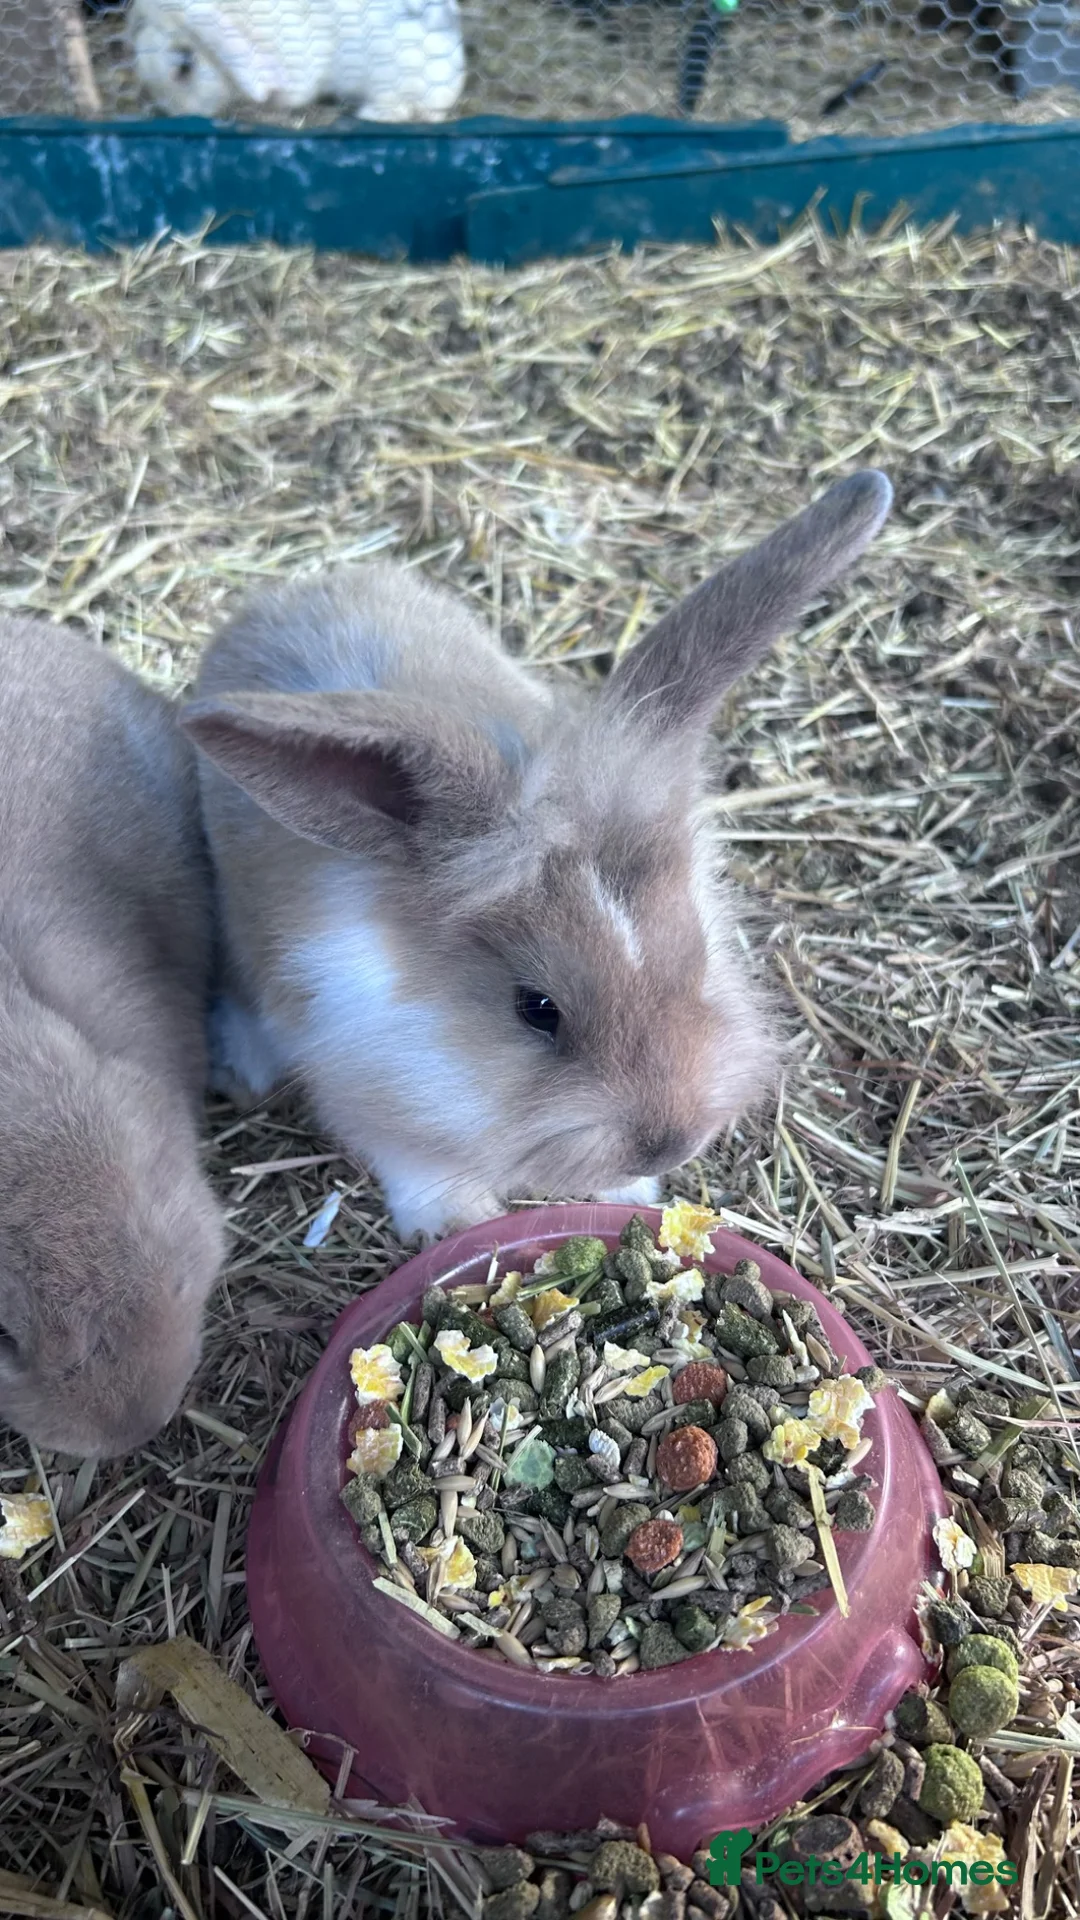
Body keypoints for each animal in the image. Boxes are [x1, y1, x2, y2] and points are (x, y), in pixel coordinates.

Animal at [181, 471, 892, 1245]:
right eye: (536, 1009)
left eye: (698, 959)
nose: (668, 1144)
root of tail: (287, 594)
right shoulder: (367, 1086)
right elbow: (414, 1161)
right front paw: (453, 1222)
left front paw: (633, 1190)